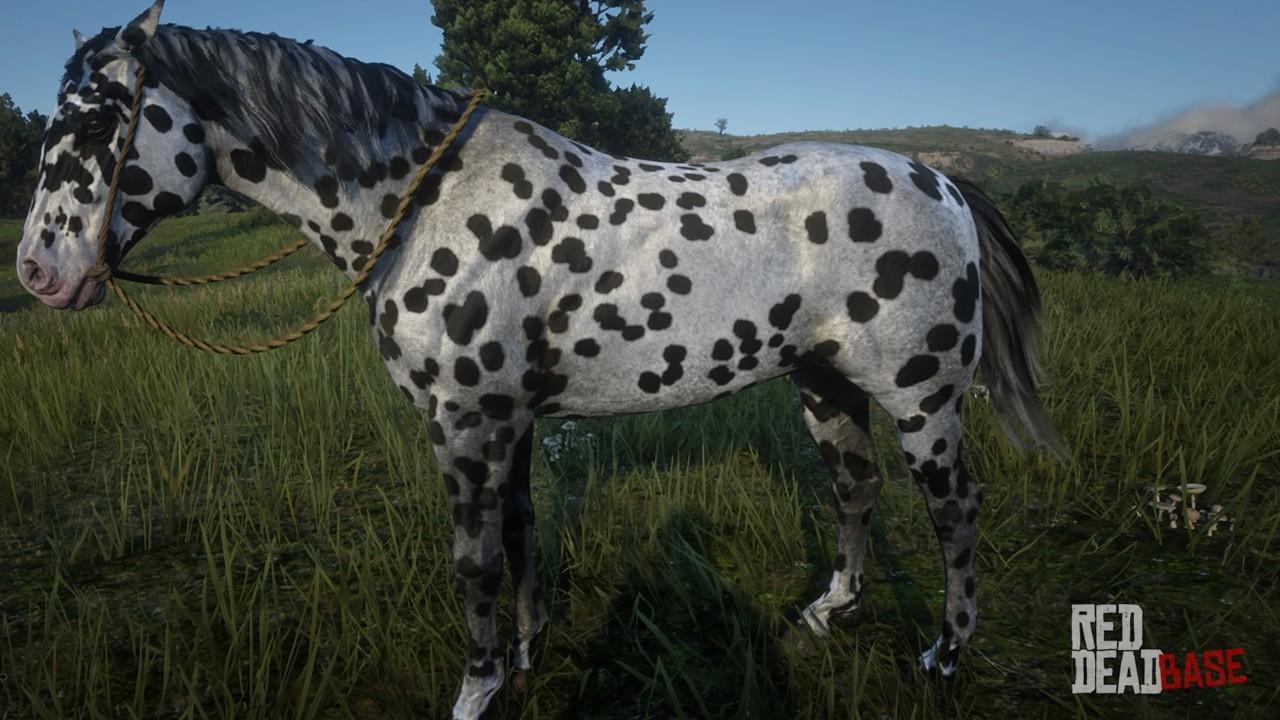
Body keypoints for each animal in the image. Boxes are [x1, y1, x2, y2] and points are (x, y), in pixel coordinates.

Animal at [16, 2, 1063, 717]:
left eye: (99, 118)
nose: (39, 270)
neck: (425, 197)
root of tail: (944, 184)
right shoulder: (509, 424)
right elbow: (521, 537)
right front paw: (525, 655)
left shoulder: (466, 426)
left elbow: (474, 562)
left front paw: (478, 688)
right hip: (824, 386)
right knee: (855, 492)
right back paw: (828, 613)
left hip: (923, 402)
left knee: (954, 515)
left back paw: (943, 657)